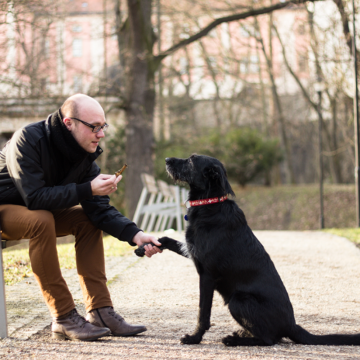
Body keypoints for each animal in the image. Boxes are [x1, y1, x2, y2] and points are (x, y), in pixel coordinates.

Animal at [136, 155, 360, 346]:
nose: (166, 159)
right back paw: (241, 333)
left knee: (270, 340)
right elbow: (166, 239)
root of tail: (292, 325)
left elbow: (203, 313)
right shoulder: (191, 251)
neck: (210, 204)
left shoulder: (207, 275)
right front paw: (142, 247)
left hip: (238, 300)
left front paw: (194, 338)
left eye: (191, 160)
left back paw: (234, 340)